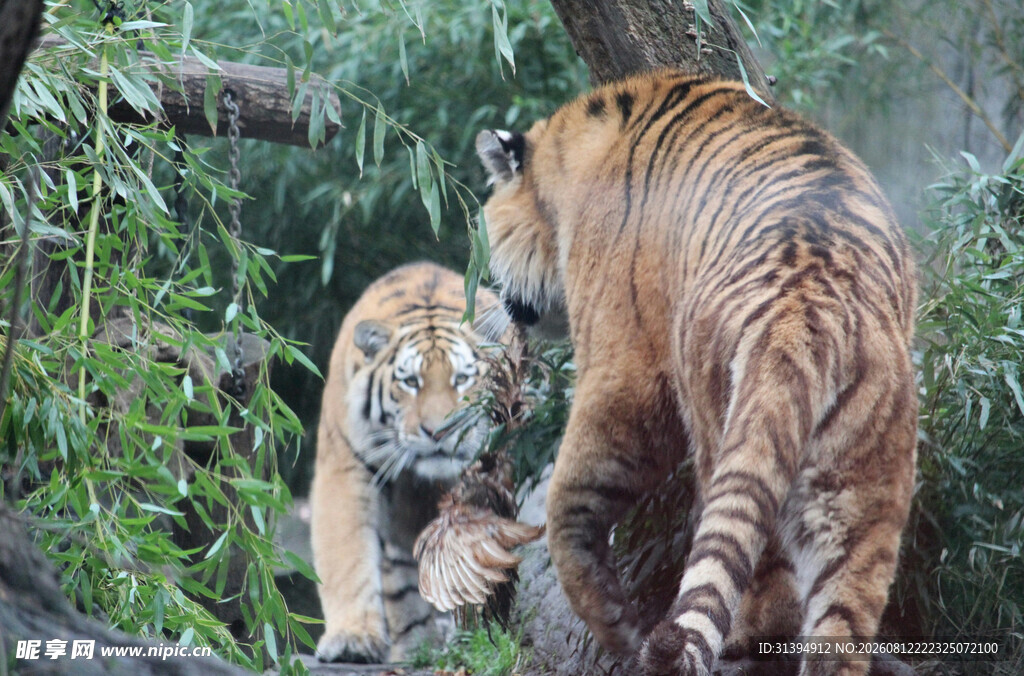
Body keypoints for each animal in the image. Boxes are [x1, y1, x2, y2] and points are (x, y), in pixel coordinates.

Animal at [310, 261, 501, 663]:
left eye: (463, 379)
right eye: (411, 382)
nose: (439, 430)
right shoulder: (346, 466)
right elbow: (346, 552)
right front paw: (352, 639)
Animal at [475, 70, 918, 676]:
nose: (499, 302)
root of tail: (806, 307)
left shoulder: (625, 363)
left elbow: (568, 494)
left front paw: (614, 624)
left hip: (717, 421)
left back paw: (742, 634)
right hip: (863, 480)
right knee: (841, 619)